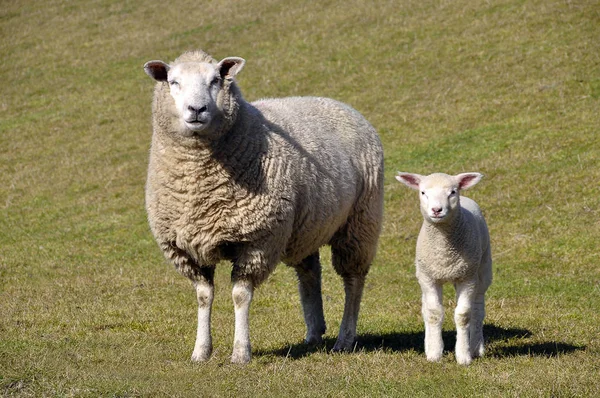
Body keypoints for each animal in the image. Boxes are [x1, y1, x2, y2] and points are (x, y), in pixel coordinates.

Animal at [143, 49, 382, 364]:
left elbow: (240, 296)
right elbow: (204, 296)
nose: (197, 109)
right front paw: (200, 351)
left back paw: (345, 338)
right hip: (304, 227)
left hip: (360, 220)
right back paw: (314, 332)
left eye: (216, 80)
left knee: (353, 280)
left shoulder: (257, 241)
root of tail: (339, 103)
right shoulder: (186, 248)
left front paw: (240, 352)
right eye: (173, 81)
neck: (200, 180)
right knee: (310, 272)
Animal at [394, 171, 492, 364]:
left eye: (452, 192)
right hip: (424, 273)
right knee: (425, 307)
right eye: (423, 192)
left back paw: (476, 347)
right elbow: (433, 313)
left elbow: (463, 315)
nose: (436, 210)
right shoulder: (429, 277)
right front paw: (434, 352)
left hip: (482, 269)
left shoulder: (467, 278)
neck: (445, 253)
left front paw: (463, 355)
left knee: (478, 309)